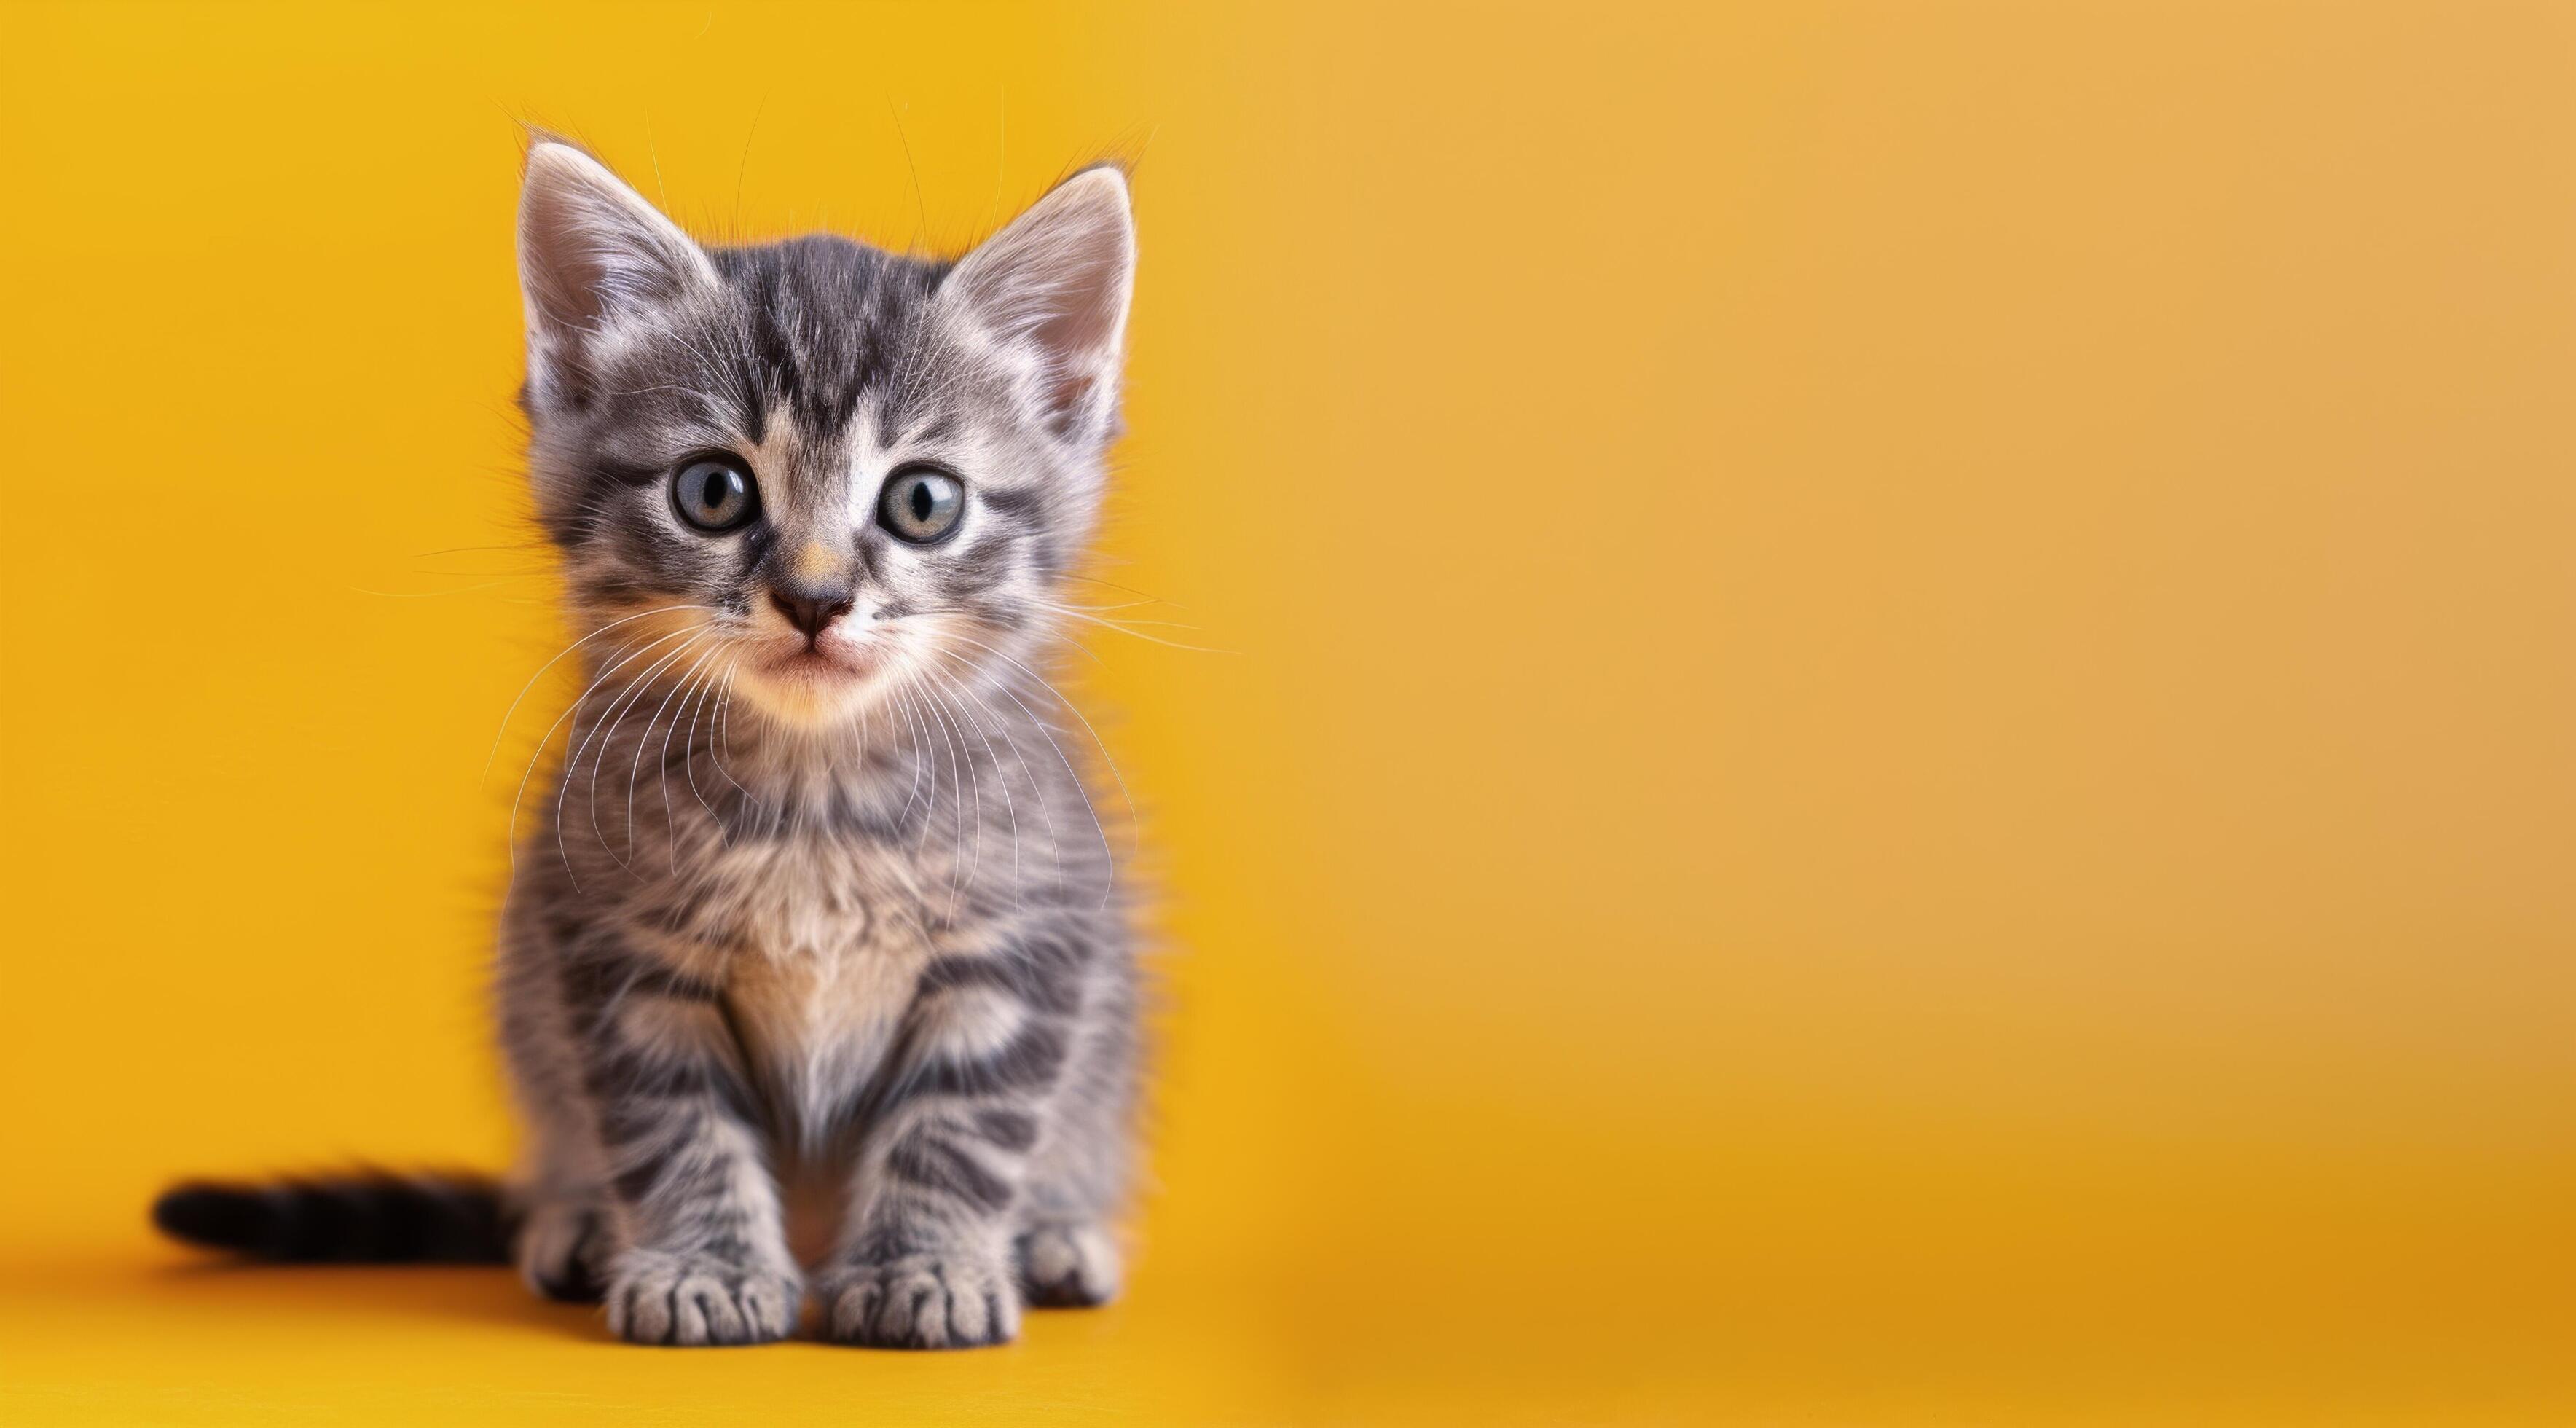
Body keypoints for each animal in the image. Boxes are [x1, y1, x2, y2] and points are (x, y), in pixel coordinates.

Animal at [150, 136, 1138, 1340]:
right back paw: (575, 1222)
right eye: (713, 490)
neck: (815, 798)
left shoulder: (1027, 939)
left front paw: (929, 1269)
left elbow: (962, 1129)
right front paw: (706, 1269)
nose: (814, 599)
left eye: (922, 503)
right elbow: (676, 1128)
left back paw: (1054, 1234)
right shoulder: (613, 946)